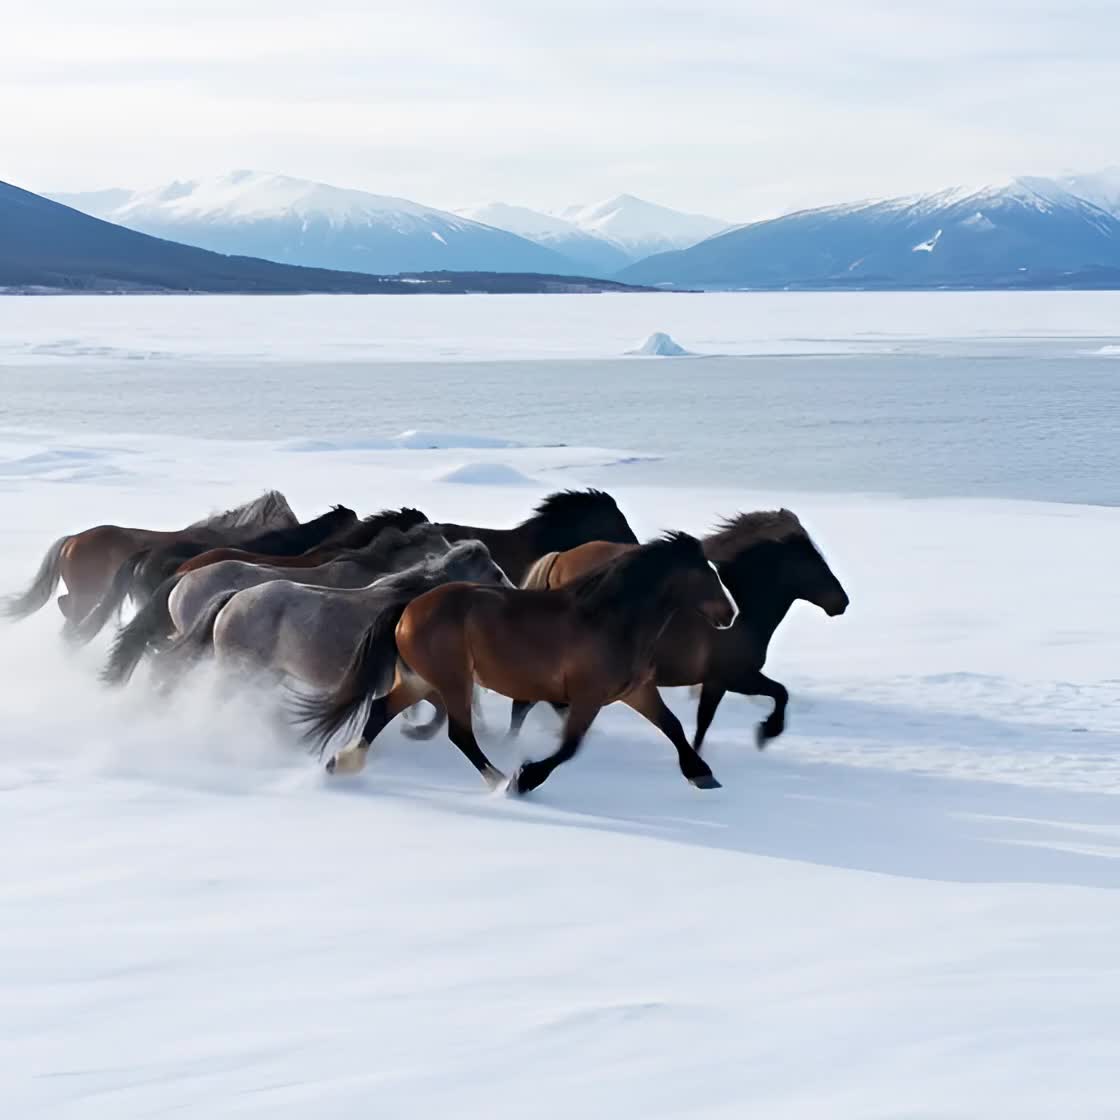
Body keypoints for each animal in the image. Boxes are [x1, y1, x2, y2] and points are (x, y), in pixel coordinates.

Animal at [299, 531, 738, 795]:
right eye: (707, 576)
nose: (731, 615)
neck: (612, 619)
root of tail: (409, 607)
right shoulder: (588, 696)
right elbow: (569, 746)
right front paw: (525, 779)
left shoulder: (637, 691)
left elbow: (673, 725)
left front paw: (702, 773)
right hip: (453, 680)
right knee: (460, 733)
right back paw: (497, 780)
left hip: (421, 680)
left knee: (378, 711)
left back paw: (342, 763)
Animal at [506, 510, 849, 748]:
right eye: (813, 563)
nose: (841, 602)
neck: (743, 611)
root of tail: (558, 558)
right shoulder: (733, 676)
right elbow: (778, 694)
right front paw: (767, 733)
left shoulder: (717, 681)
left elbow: (705, 721)